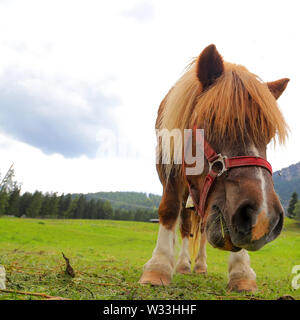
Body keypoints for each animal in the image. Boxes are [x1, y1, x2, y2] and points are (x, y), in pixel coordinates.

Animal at [139, 43, 290, 292]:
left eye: (268, 136)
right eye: (210, 121)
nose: (263, 217)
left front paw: (241, 271)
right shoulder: (168, 168)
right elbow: (169, 209)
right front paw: (158, 266)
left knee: (199, 230)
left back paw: (199, 265)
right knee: (185, 225)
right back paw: (182, 264)